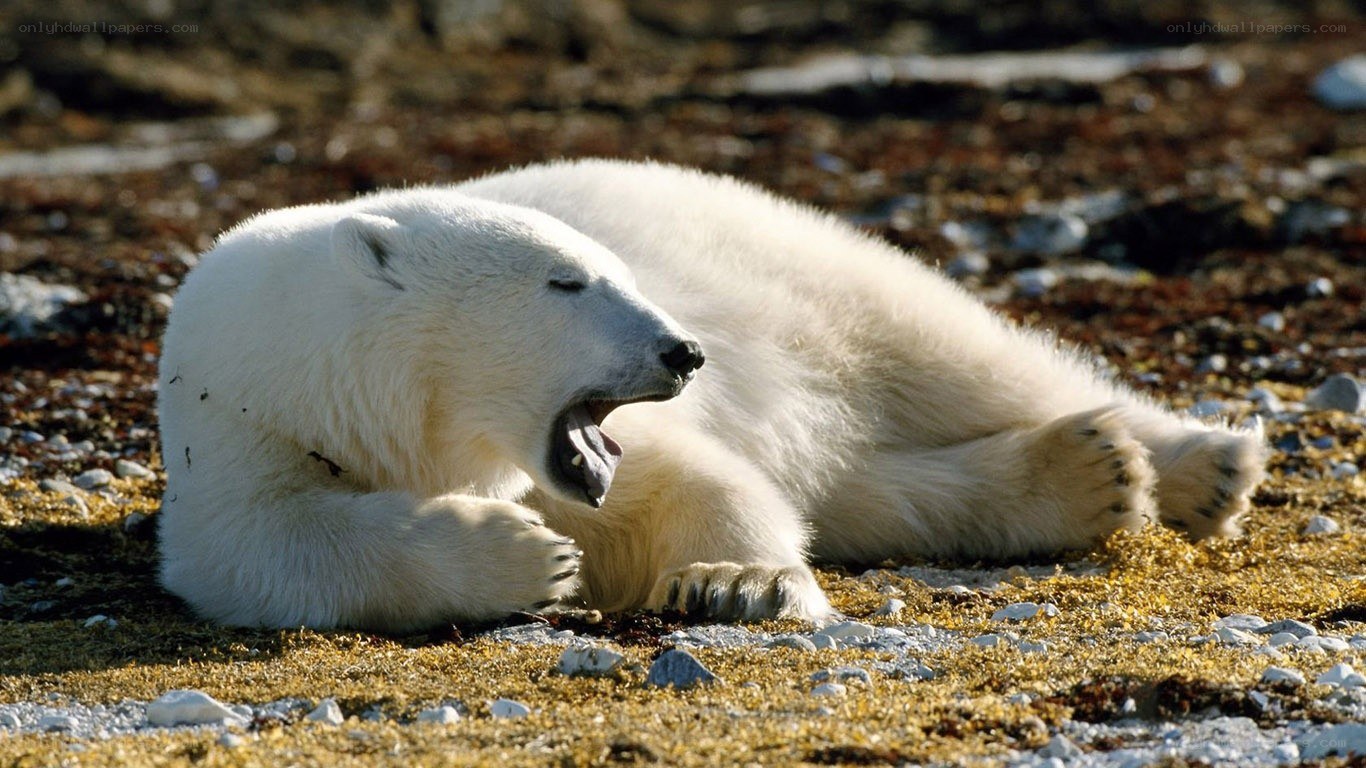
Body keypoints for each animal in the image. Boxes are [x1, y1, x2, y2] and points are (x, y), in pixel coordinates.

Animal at [157, 159, 1267, 631]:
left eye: (612, 269)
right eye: (567, 281)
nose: (682, 350)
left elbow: (699, 484)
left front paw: (734, 583)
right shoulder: (245, 437)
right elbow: (271, 551)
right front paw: (526, 558)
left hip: (802, 268)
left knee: (959, 354)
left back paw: (1199, 462)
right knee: (874, 490)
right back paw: (1083, 474)